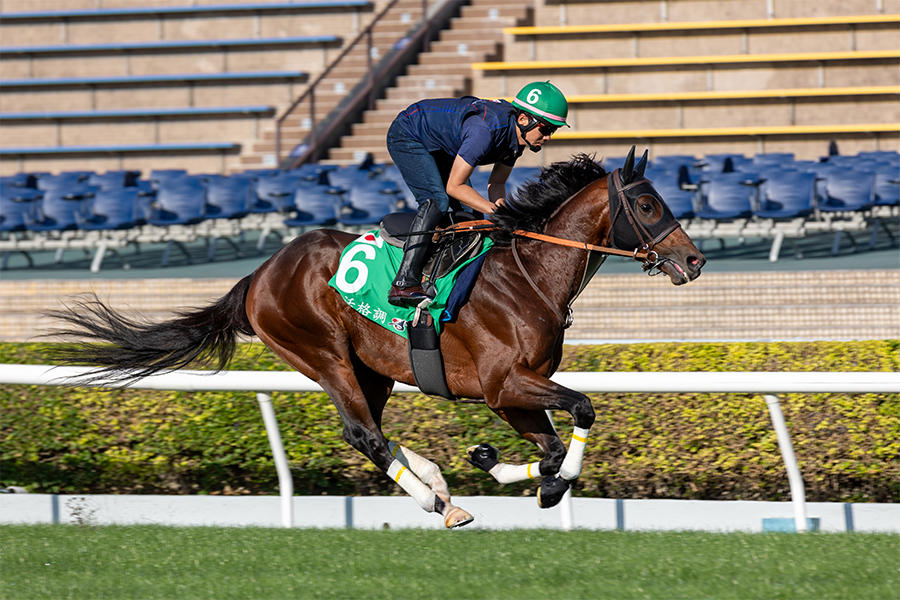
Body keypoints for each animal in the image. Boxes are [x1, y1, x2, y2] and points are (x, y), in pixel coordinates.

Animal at [49, 148, 708, 528]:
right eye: (648, 204)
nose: (694, 261)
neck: (530, 275)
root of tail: (259, 275)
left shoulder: (510, 393)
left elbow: (549, 448)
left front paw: (506, 467)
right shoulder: (505, 384)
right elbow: (584, 407)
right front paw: (536, 478)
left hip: (376, 368)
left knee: (374, 428)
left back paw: (437, 483)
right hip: (323, 354)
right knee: (361, 431)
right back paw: (433, 499)